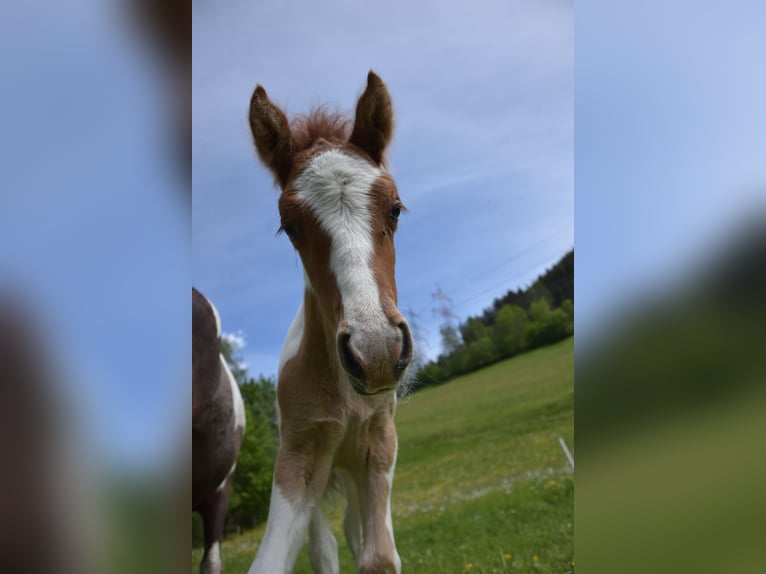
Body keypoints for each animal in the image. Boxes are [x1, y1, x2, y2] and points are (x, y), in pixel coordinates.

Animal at [248, 73, 414, 574]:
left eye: (395, 208)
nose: (375, 351)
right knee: (326, 543)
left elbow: (379, 557)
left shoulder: (379, 443)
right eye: (290, 226)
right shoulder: (301, 454)